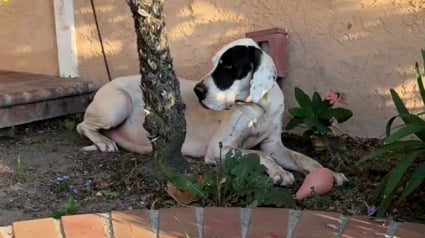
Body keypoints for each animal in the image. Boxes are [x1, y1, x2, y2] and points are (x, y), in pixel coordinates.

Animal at [76, 37, 348, 186]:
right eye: (214, 63)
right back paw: (103, 141)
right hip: (119, 103)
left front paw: (329, 172)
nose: (198, 91)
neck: (258, 107)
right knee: (82, 125)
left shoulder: (274, 145)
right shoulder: (220, 149)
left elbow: (303, 157)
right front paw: (279, 173)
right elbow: (259, 154)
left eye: (228, 66)